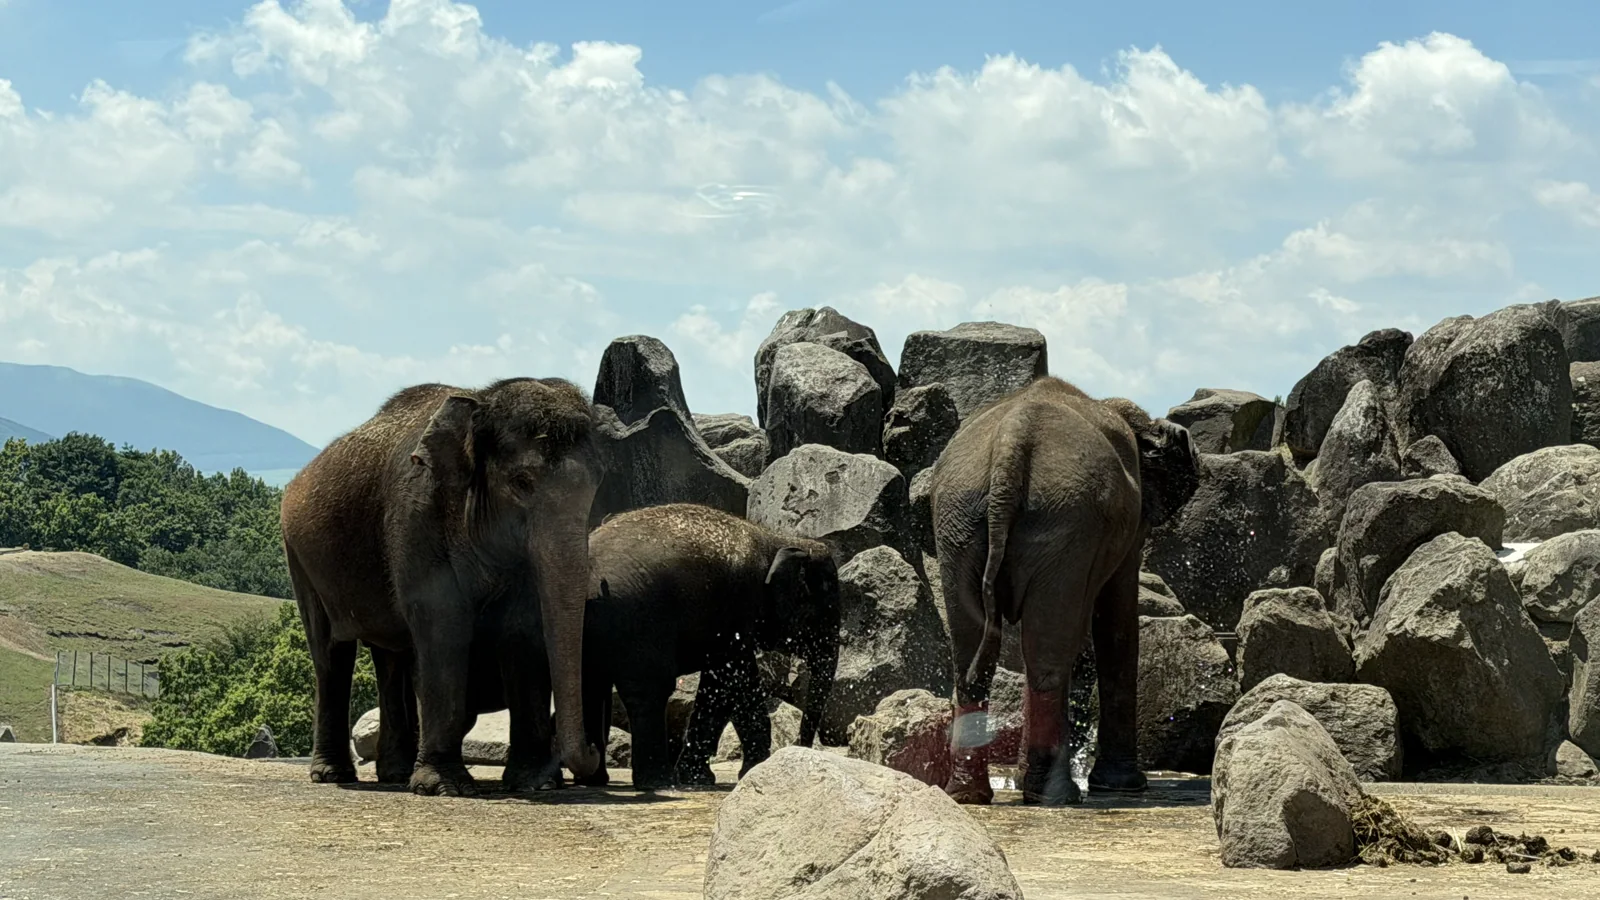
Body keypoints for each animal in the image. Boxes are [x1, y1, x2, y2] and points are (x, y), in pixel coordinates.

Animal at [279, 377, 604, 797]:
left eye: (597, 484)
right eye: (521, 483)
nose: (594, 750)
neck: (480, 402)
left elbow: (522, 632)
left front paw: (535, 784)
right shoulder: (417, 516)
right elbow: (442, 626)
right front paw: (443, 786)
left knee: (390, 656)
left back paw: (396, 773)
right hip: (300, 557)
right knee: (331, 653)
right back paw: (334, 775)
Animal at [576, 503, 841, 790]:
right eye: (825, 610)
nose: (802, 746)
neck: (777, 539)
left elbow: (728, 683)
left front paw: (706, 776)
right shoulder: (737, 607)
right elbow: (731, 681)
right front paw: (741, 771)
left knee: (590, 686)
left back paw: (595, 780)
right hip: (636, 620)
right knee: (649, 688)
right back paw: (659, 783)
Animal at [930, 375, 1200, 806]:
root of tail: (1012, 441)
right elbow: (1116, 615)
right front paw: (1125, 786)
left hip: (962, 521)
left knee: (979, 656)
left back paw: (968, 794)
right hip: (1062, 520)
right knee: (1049, 654)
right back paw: (1055, 796)